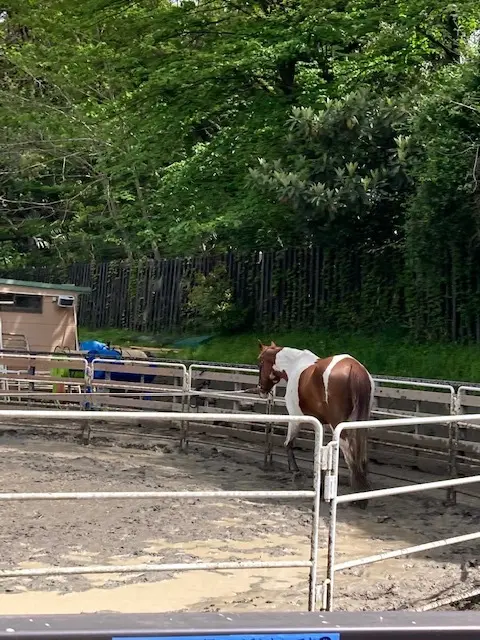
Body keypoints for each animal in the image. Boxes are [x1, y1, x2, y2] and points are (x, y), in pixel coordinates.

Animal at [257, 341, 375, 509]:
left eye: (260, 363)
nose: (261, 389)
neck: (293, 365)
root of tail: (353, 368)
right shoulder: (322, 424)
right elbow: (322, 453)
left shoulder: (296, 417)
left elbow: (288, 444)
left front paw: (297, 473)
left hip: (339, 425)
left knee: (349, 453)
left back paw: (357, 498)